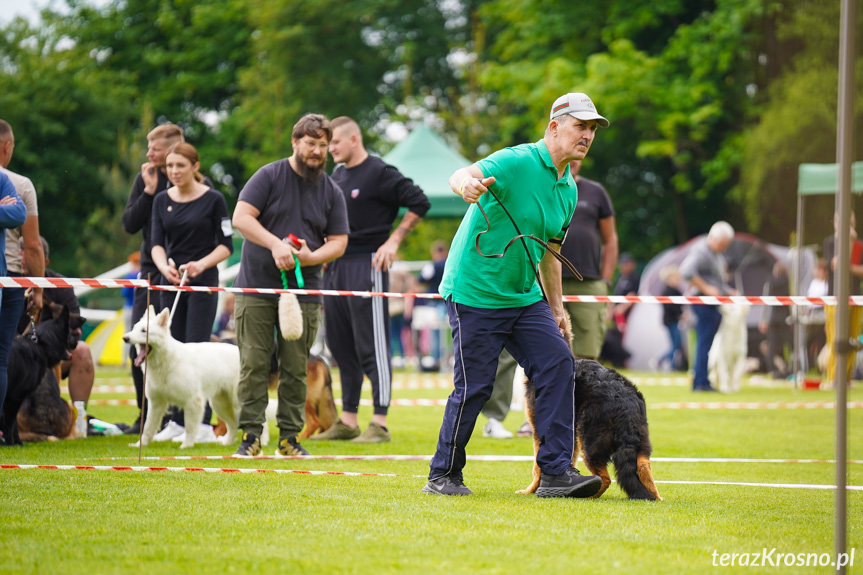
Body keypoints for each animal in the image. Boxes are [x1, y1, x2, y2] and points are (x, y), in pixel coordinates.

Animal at [122, 306, 240, 450]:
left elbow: (189, 427)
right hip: (220, 405)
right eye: (134, 328)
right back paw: (227, 443)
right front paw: (140, 444)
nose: (125, 338)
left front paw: (186, 445)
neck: (166, 360)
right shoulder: (156, 403)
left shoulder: (193, 402)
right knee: (233, 426)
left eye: (144, 331)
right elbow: (147, 428)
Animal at [520, 320, 660, 500]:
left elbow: (537, 467)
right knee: (643, 467)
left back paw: (586, 495)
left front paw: (531, 490)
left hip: (590, 441)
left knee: (605, 478)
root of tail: (624, 402)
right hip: (640, 440)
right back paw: (654, 497)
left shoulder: (540, 430)